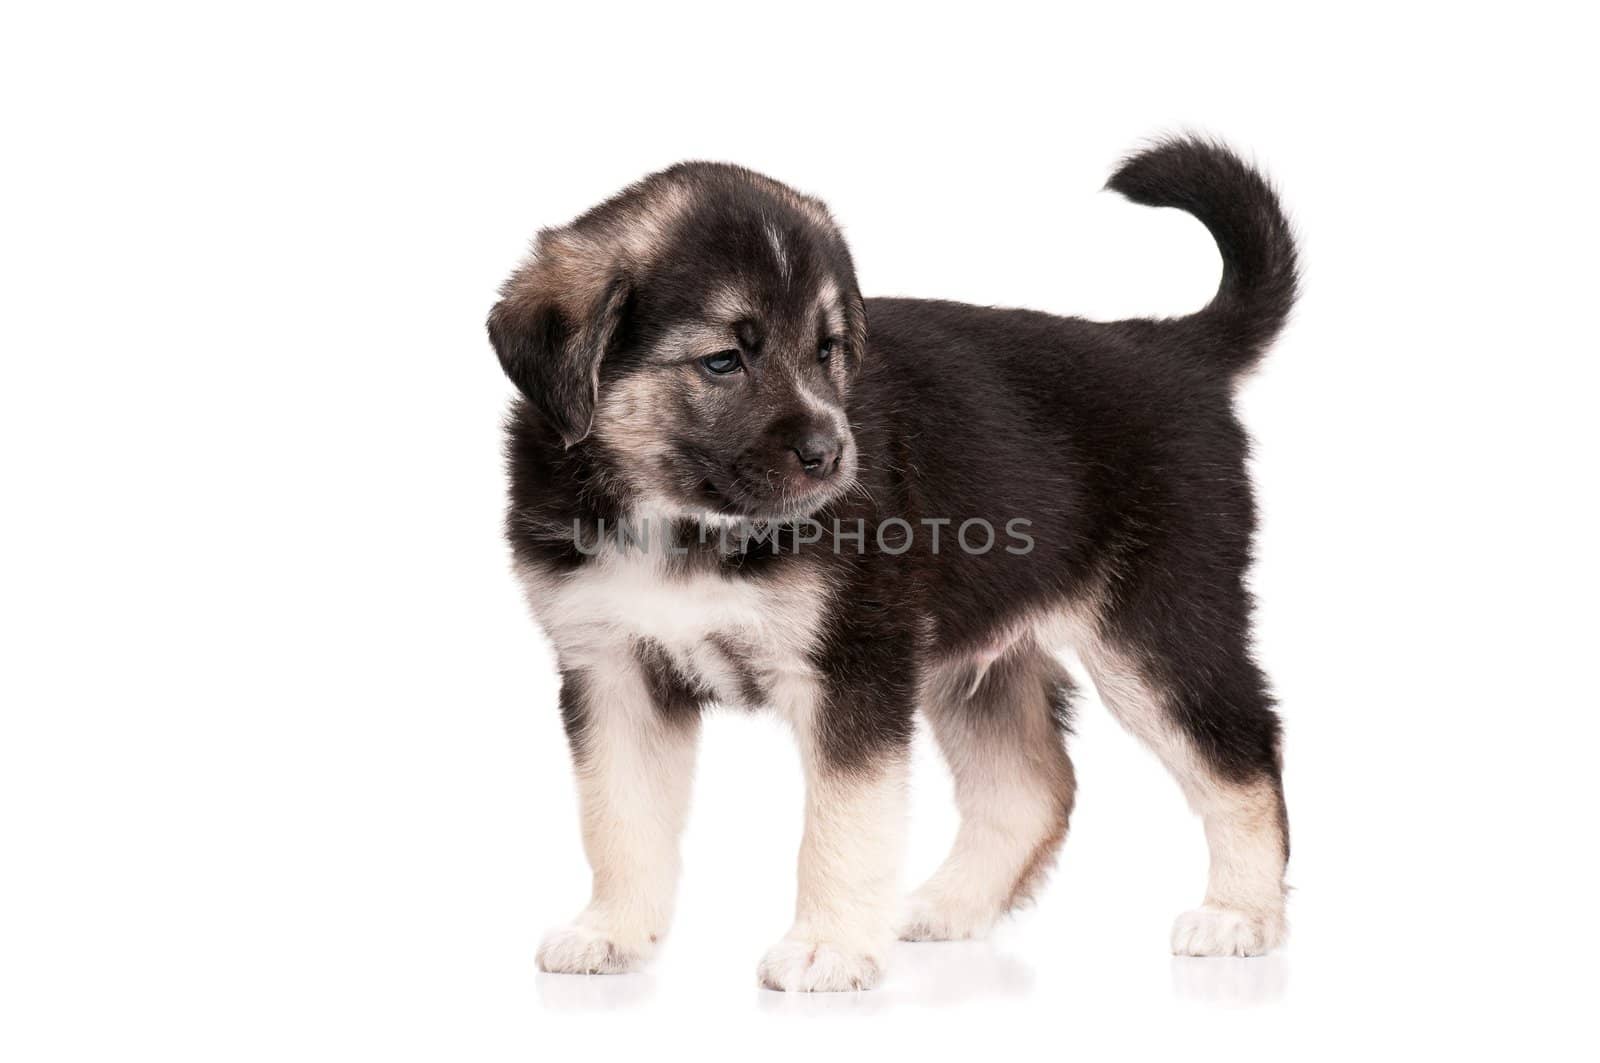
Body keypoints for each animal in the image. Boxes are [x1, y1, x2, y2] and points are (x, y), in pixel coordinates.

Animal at [489, 136, 1299, 992]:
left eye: (827, 350)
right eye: (723, 361)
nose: (831, 455)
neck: (684, 521)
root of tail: (1173, 345)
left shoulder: (854, 667)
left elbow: (844, 821)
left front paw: (830, 945)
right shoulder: (613, 671)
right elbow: (619, 818)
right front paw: (611, 932)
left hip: (1158, 629)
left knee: (1245, 757)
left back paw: (1241, 913)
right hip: (979, 659)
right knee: (1033, 787)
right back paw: (947, 905)